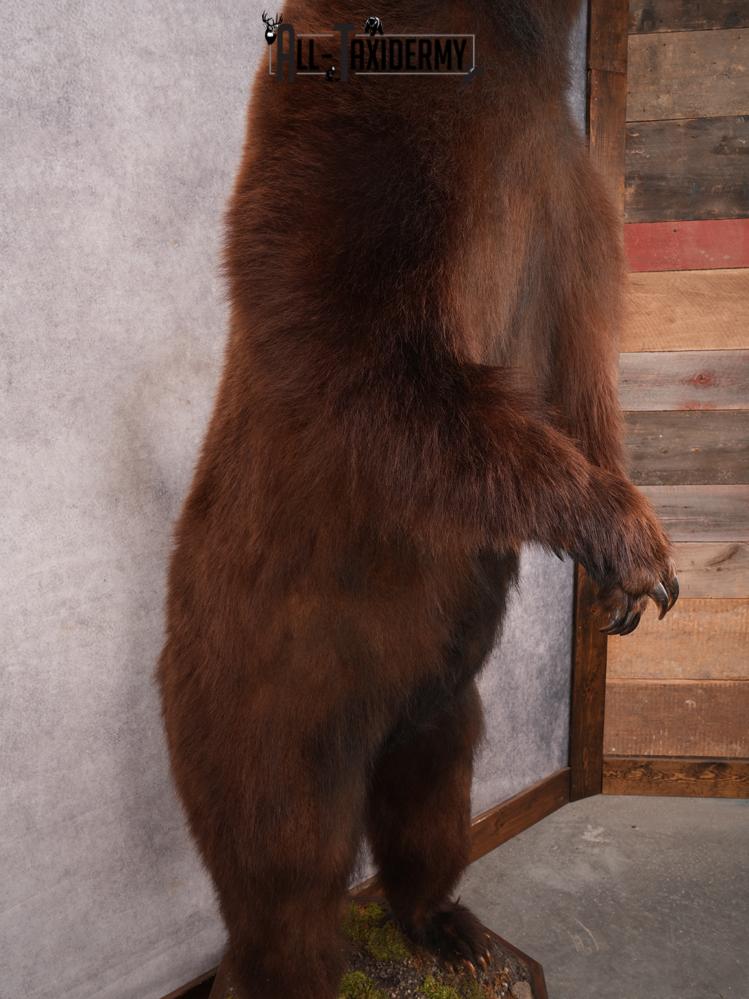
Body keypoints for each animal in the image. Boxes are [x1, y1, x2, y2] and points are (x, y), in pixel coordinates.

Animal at [157, 3, 679, 997]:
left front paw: (624, 575)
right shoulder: (373, 132)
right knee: (283, 859)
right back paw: (295, 966)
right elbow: (365, 354)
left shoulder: (567, 188)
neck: (518, 45)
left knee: (432, 795)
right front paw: (633, 545)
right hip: (260, 688)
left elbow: (581, 362)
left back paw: (449, 927)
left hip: (438, 690)